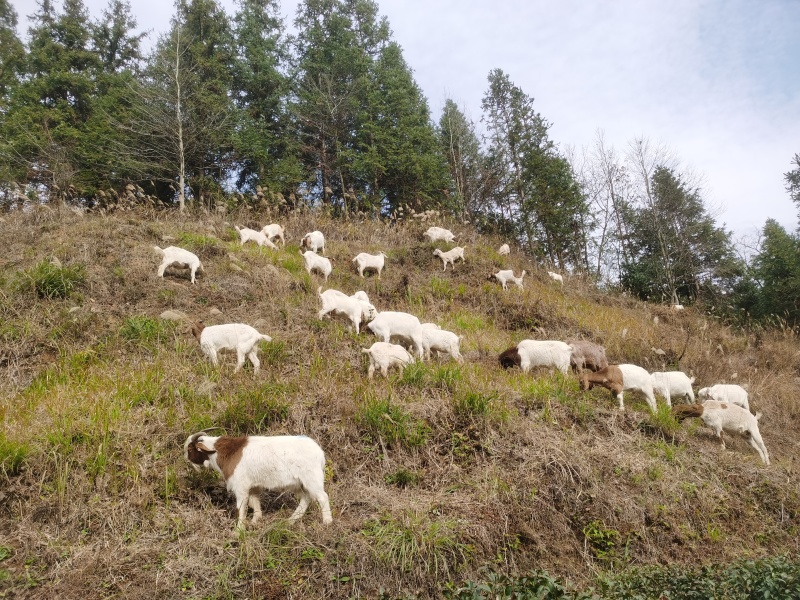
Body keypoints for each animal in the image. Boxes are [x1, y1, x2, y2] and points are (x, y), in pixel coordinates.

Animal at [186, 428, 332, 528]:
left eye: (190, 449)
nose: (186, 459)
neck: (227, 451)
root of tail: (320, 453)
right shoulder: (253, 485)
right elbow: (254, 501)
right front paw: (255, 521)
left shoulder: (241, 486)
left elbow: (241, 507)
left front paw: (239, 530)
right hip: (298, 483)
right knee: (306, 498)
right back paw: (290, 521)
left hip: (311, 479)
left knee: (322, 497)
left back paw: (327, 522)